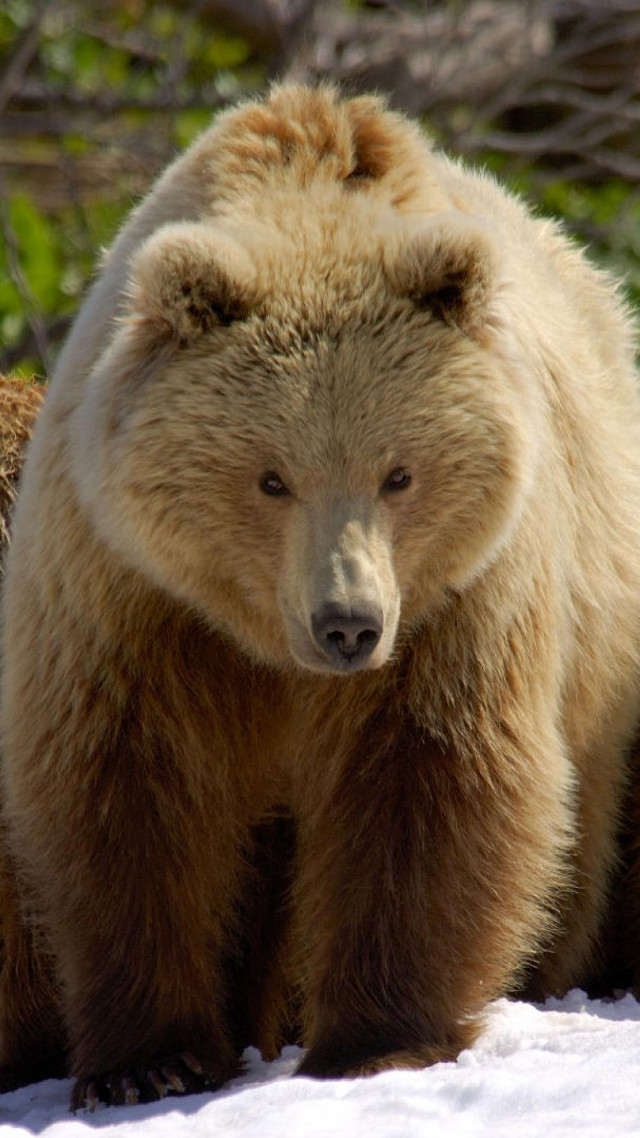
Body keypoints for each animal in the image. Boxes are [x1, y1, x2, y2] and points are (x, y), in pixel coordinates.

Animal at [1, 83, 640, 1111]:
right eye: (271, 478)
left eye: (399, 473)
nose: (347, 625)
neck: (263, 639)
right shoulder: (130, 595)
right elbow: (127, 789)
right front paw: (149, 1061)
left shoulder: (457, 601)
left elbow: (428, 780)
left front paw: (377, 1040)